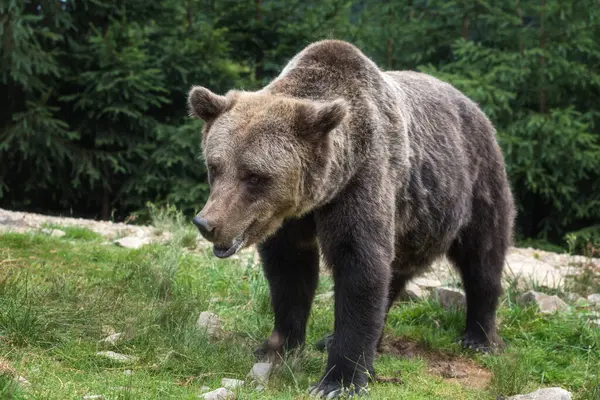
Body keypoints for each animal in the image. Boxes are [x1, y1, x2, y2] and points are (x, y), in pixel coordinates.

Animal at [189, 39, 516, 396]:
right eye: (215, 166)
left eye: (254, 176)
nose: (208, 224)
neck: (321, 192)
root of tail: (475, 106)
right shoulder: (291, 219)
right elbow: (290, 273)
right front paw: (278, 345)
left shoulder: (361, 181)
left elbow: (359, 264)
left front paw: (338, 380)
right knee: (394, 274)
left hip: (475, 182)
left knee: (482, 256)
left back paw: (479, 337)